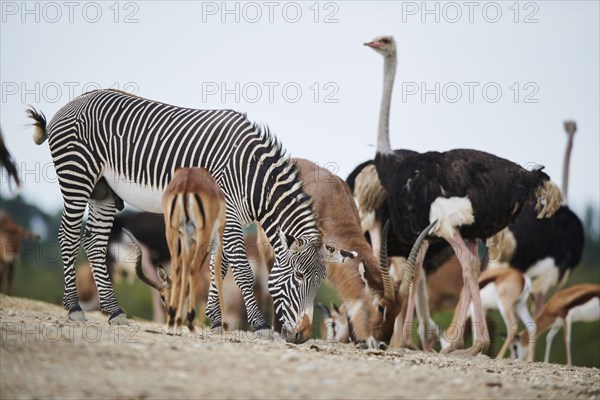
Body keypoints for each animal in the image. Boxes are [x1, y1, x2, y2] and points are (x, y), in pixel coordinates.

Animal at [135, 167, 229, 332]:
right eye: (162, 297)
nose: (169, 313)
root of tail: (187, 183)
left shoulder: (188, 239)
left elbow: (184, 269)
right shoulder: (215, 238)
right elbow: (216, 273)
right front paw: (224, 325)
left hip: (172, 231)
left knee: (178, 268)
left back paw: (175, 323)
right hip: (202, 234)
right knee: (193, 269)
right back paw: (188, 322)